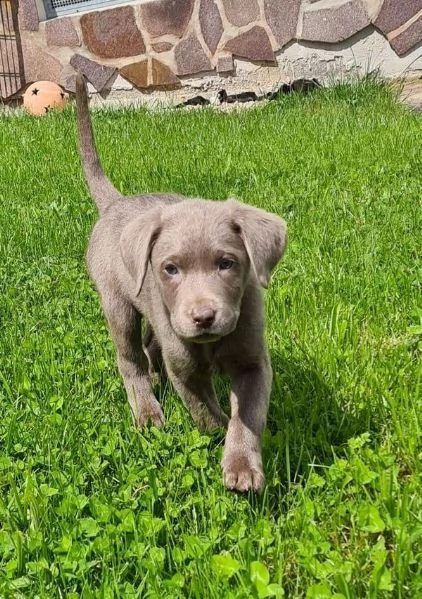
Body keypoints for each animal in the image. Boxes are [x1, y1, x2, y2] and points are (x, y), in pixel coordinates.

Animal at [75, 72, 286, 492]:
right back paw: (147, 411)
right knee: (130, 359)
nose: (203, 317)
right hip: (118, 306)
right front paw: (218, 434)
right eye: (170, 269)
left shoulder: (253, 362)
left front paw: (241, 464)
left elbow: (247, 417)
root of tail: (115, 204)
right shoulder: (186, 372)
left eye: (227, 264)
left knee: (150, 343)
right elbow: (204, 412)